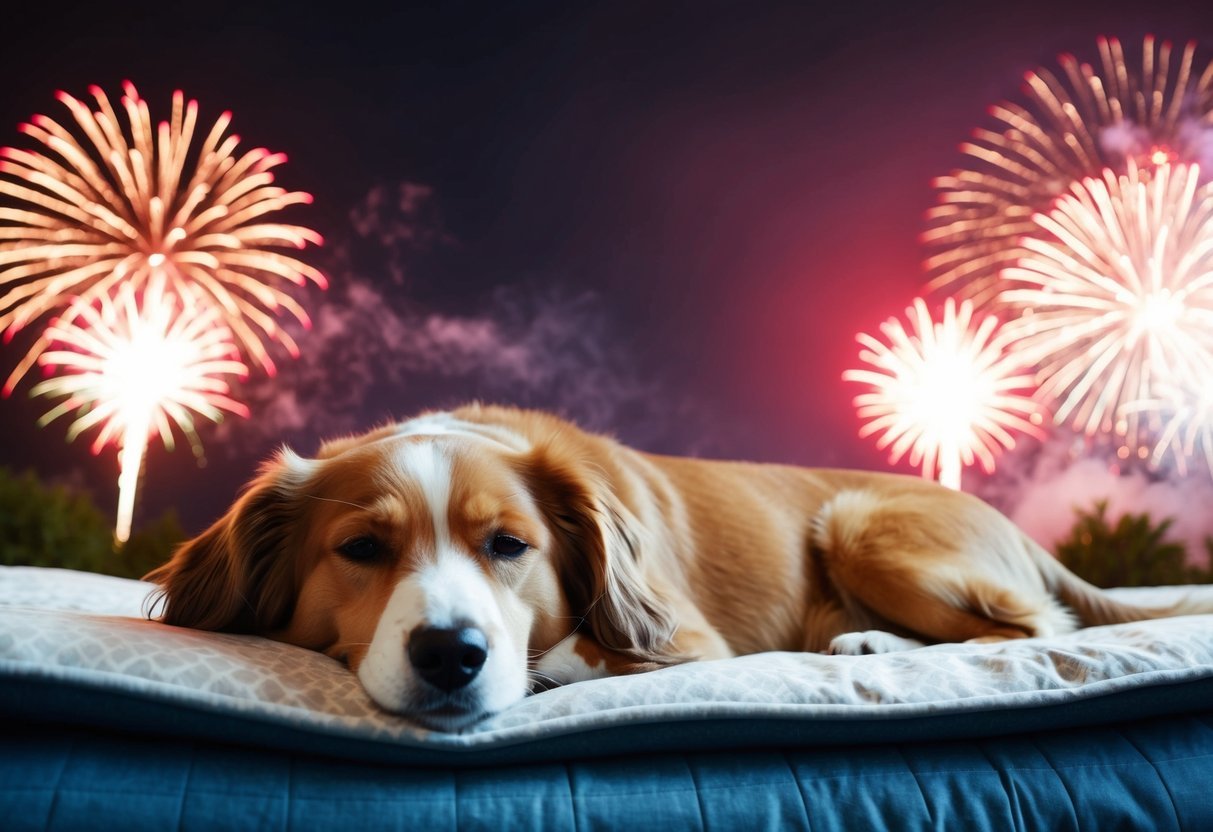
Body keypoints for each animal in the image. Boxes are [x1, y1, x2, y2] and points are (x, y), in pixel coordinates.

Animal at [146, 405, 1208, 727]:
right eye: (362, 550)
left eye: (509, 547)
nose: (452, 655)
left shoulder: (686, 639)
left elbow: (576, 651)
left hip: (860, 525)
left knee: (1030, 627)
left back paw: (870, 643)